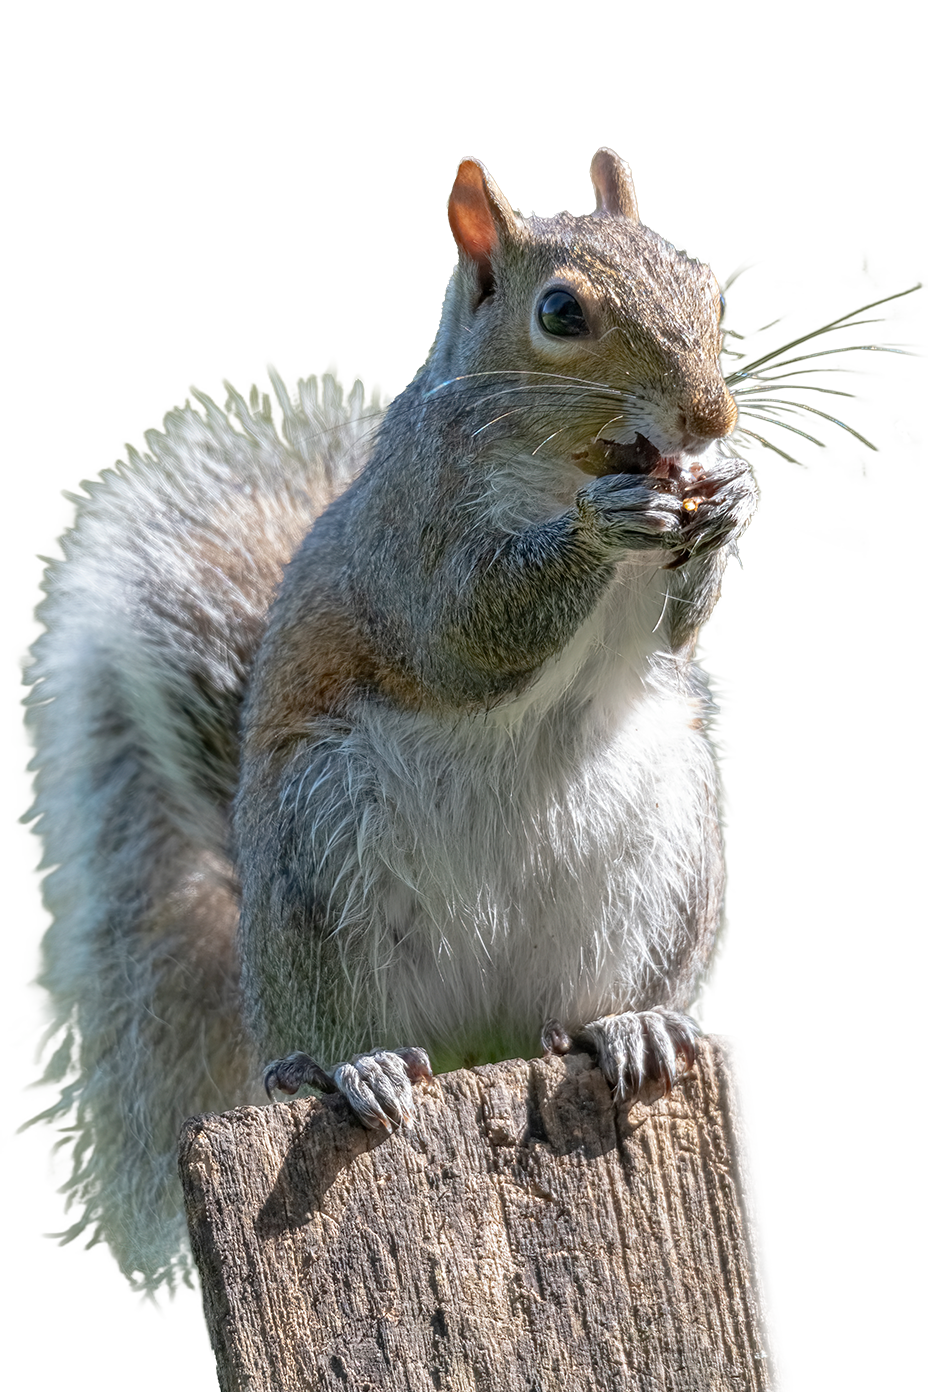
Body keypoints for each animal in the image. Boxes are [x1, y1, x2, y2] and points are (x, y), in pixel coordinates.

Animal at [26, 149, 758, 1285]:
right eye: (560, 312)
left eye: (708, 285)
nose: (711, 419)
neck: (570, 462)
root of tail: (476, 1038)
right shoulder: (413, 545)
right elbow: (466, 631)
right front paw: (603, 526)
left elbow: (672, 637)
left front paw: (729, 497)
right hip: (323, 847)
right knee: (331, 1031)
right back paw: (354, 1067)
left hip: (663, 853)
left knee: (577, 1014)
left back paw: (627, 1026)